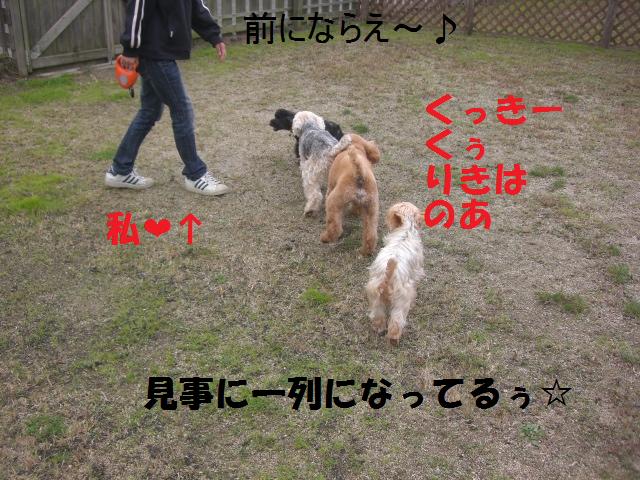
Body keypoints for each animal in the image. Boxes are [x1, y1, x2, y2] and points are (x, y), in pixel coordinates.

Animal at [366, 202, 425, 345]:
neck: (407, 228)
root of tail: (387, 279)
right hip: (401, 300)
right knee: (396, 321)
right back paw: (393, 339)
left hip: (375, 297)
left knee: (378, 316)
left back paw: (378, 328)